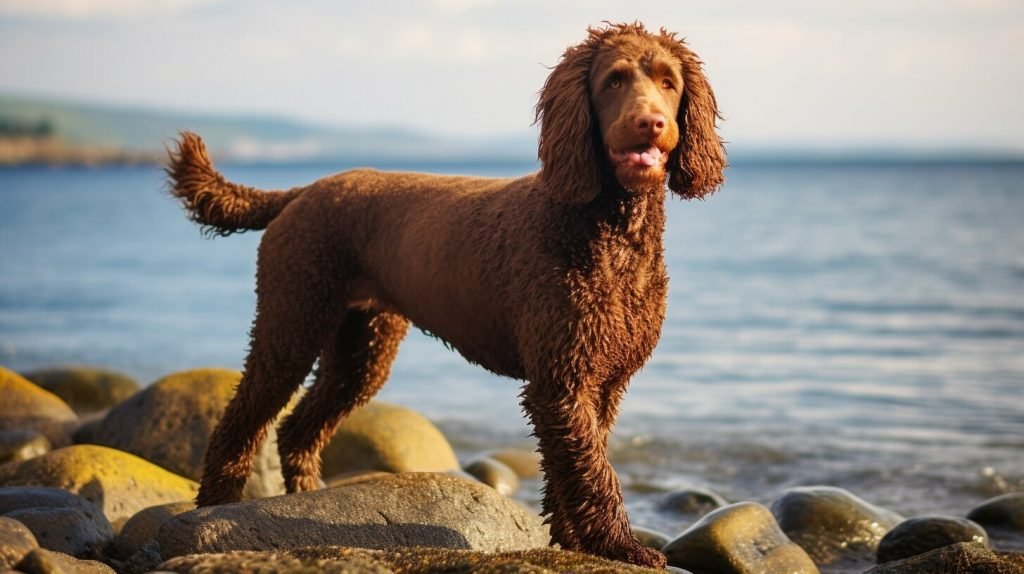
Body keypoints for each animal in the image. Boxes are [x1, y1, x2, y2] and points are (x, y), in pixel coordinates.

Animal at [167, 22, 724, 568]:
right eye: (613, 81)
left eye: (669, 82)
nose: (651, 123)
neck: (606, 231)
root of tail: (302, 191)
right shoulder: (561, 381)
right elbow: (591, 472)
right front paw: (620, 547)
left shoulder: (600, 381)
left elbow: (576, 467)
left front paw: (576, 541)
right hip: (291, 321)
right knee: (242, 420)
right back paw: (213, 510)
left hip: (362, 347)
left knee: (299, 429)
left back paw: (302, 497)